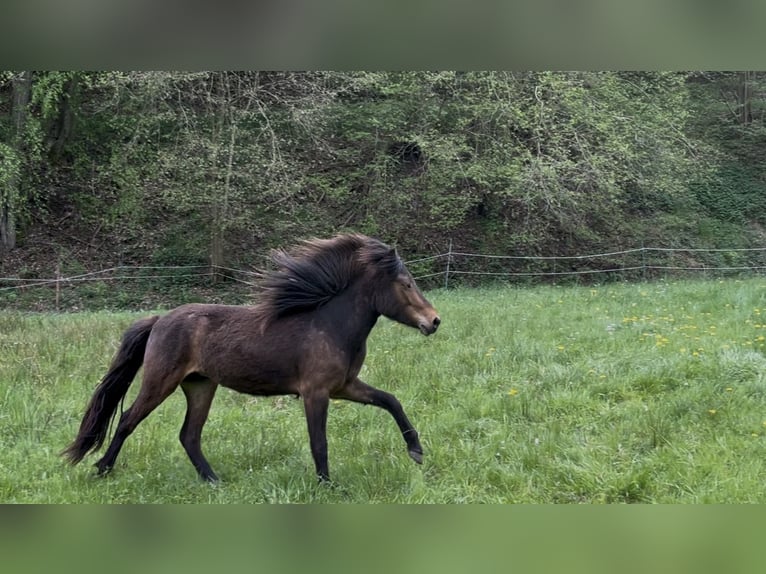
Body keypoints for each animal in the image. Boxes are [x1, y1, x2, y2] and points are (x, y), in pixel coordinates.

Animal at [62, 233, 441, 482]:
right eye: (406, 284)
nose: (434, 321)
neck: (330, 325)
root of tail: (159, 320)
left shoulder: (345, 386)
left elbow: (391, 401)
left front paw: (416, 452)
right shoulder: (316, 393)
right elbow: (319, 442)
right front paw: (326, 485)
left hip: (200, 386)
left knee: (189, 435)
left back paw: (214, 481)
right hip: (161, 382)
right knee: (128, 419)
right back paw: (102, 469)